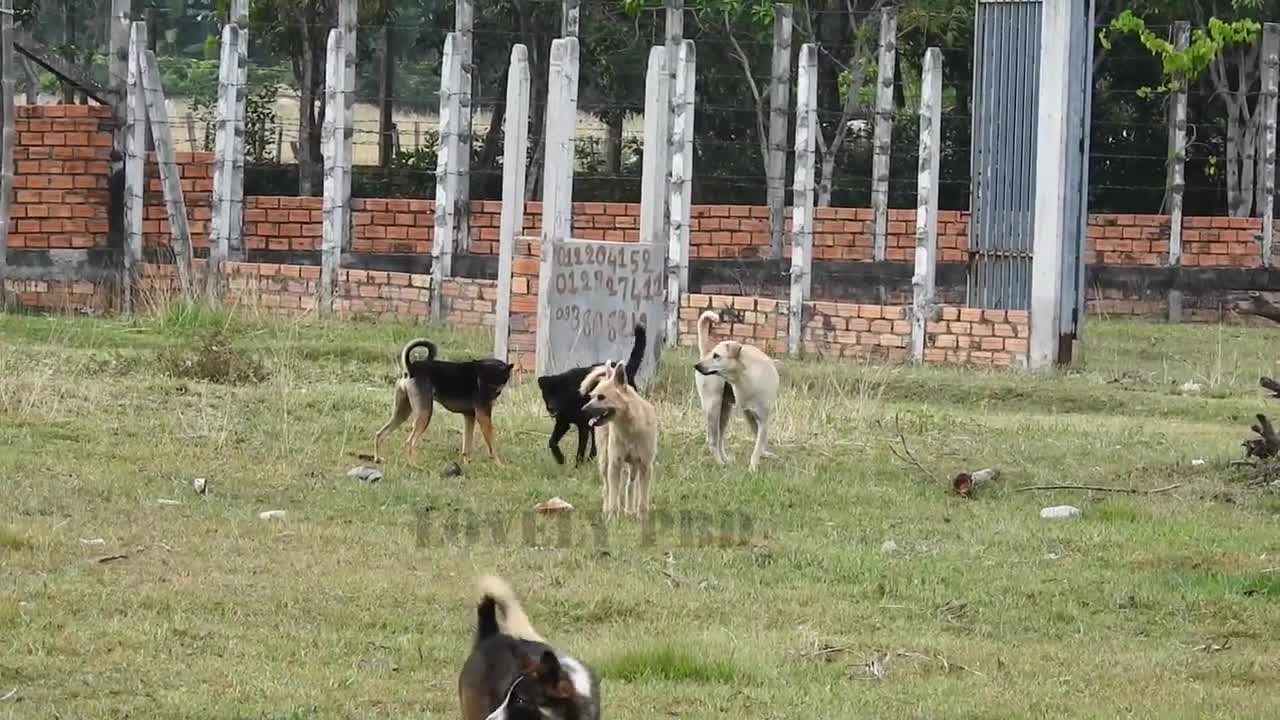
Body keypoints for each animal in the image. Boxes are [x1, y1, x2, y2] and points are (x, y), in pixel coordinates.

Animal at [368, 338, 512, 461]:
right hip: (425, 413)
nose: (483, 392)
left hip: (402, 412)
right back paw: (415, 465)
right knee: (410, 442)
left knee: (380, 434)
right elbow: (492, 445)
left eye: (493, 383)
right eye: (481, 380)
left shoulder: (469, 415)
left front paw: (467, 462)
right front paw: (499, 464)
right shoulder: (483, 416)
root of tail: (411, 368)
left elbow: (467, 444)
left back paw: (378, 458)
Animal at [581, 358, 660, 515]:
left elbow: (642, 502)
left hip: (634, 466)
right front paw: (612, 518)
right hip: (605, 461)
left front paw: (641, 519)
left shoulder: (645, 467)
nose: (583, 410)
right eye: (592, 396)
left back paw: (629, 510)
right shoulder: (614, 464)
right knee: (608, 489)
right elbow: (613, 498)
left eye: (601, 397)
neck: (630, 428)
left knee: (630, 485)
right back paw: (607, 509)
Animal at [696, 325, 773, 471]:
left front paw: (760, 457)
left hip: (725, 411)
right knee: (713, 440)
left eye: (716, 356)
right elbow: (758, 443)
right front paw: (753, 469)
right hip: (713, 408)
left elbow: (759, 440)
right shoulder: (749, 413)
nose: (696, 366)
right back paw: (720, 463)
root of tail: (702, 355)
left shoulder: (761, 418)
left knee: (719, 439)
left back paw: (726, 460)